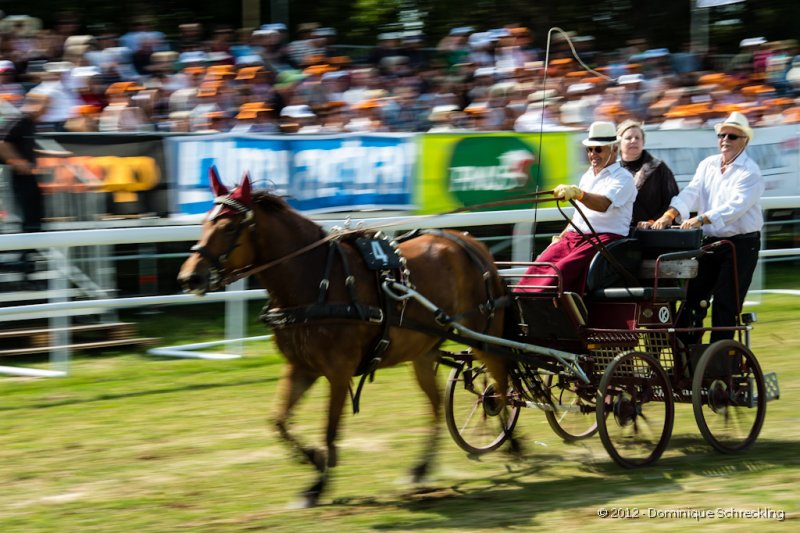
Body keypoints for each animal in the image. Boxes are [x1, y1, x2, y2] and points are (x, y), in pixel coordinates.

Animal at [179, 168, 510, 504]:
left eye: (229, 226)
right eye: (205, 222)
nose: (190, 277)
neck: (317, 282)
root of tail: (470, 243)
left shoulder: (338, 372)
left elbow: (329, 428)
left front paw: (318, 484)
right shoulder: (301, 367)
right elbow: (279, 421)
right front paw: (314, 460)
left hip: (484, 336)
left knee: (501, 381)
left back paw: (512, 441)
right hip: (422, 352)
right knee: (438, 405)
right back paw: (421, 468)